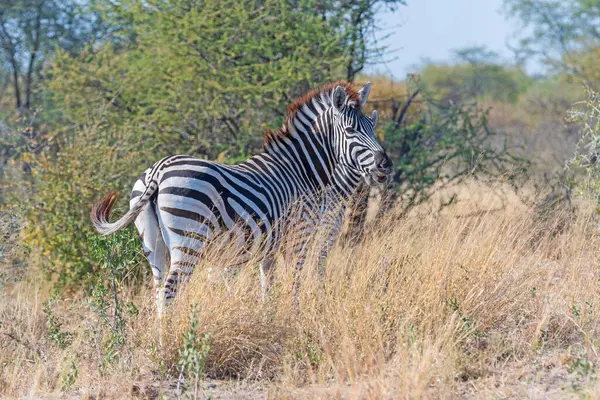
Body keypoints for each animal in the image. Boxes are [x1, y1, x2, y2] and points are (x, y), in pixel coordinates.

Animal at [90, 80, 394, 312]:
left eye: (372, 127)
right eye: (351, 130)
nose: (385, 164)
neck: (303, 171)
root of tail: (159, 169)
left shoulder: (270, 247)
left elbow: (267, 287)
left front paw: (270, 319)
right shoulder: (302, 234)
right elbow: (296, 282)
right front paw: (295, 317)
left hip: (153, 244)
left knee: (157, 293)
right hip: (189, 238)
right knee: (169, 293)